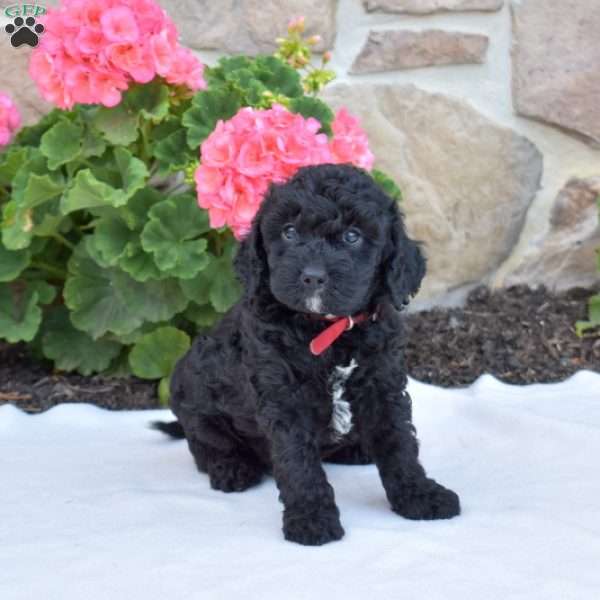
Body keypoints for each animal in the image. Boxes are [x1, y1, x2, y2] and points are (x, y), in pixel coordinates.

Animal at [155, 163, 460, 544]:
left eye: (352, 236)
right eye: (288, 232)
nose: (313, 277)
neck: (327, 328)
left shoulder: (383, 382)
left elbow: (399, 442)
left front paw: (420, 495)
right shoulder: (284, 396)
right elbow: (297, 460)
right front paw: (312, 518)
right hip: (193, 395)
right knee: (205, 442)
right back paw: (231, 467)